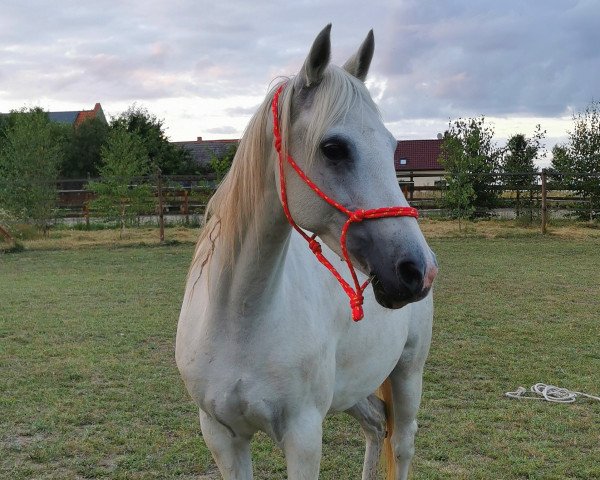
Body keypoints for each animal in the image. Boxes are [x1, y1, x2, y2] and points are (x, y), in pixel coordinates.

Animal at [176, 26, 438, 480]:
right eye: (334, 148)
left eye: (392, 148)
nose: (416, 269)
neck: (239, 318)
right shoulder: (222, 436)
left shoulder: (303, 437)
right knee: (377, 427)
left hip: (408, 373)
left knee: (402, 443)